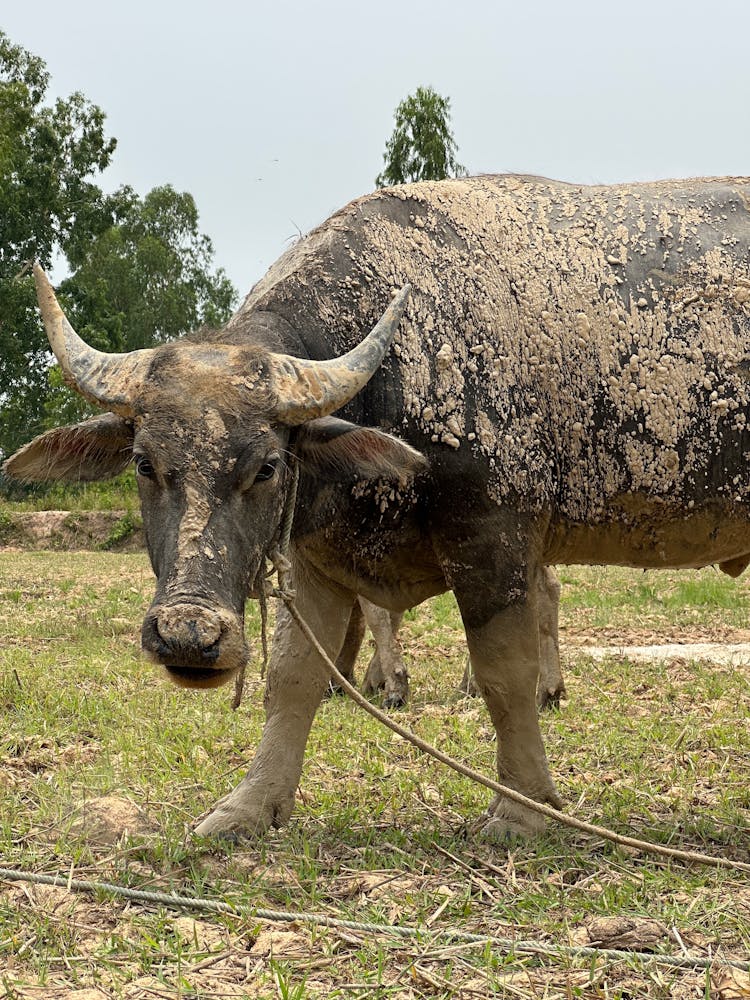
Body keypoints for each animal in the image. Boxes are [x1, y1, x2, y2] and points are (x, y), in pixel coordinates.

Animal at [5, 176, 750, 840]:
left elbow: (503, 676)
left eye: (266, 466)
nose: (190, 635)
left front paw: (520, 810)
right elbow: (292, 679)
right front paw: (248, 808)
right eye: (143, 463)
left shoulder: (494, 539)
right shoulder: (316, 558)